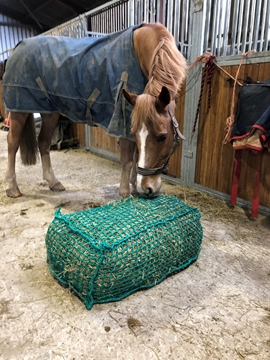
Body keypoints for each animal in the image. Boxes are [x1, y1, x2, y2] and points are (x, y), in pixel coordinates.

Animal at [2, 22, 187, 198]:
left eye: (162, 137)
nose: (147, 188)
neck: (140, 50)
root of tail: (17, 47)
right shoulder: (123, 117)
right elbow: (127, 160)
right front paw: (125, 192)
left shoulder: (133, 114)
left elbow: (135, 157)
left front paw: (134, 188)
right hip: (19, 110)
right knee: (12, 142)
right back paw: (12, 187)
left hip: (50, 113)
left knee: (43, 142)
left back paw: (53, 182)